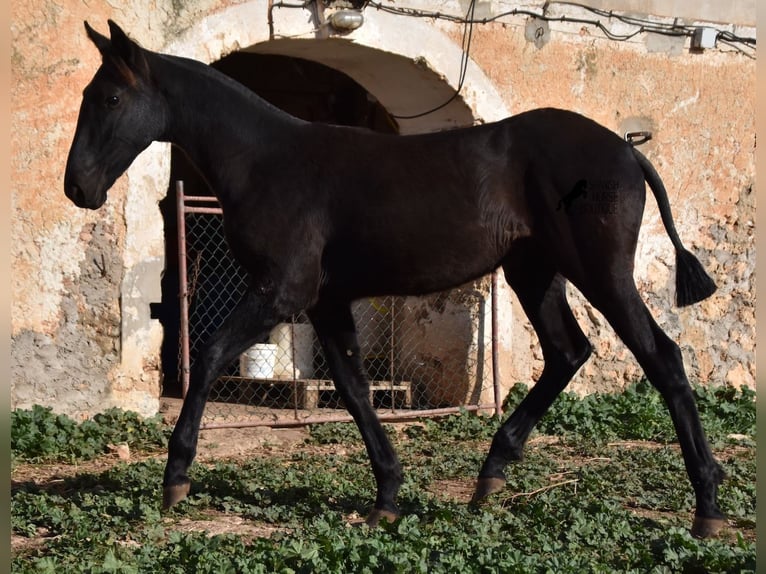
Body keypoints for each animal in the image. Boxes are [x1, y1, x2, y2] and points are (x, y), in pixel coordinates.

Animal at [64, 19, 728, 540]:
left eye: (110, 99)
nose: (77, 187)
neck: (267, 162)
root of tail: (627, 150)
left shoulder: (282, 291)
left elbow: (207, 358)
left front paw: (175, 477)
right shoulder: (326, 302)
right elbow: (355, 390)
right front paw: (386, 496)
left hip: (600, 272)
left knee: (662, 357)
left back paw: (708, 507)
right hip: (534, 271)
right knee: (568, 352)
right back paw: (491, 474)